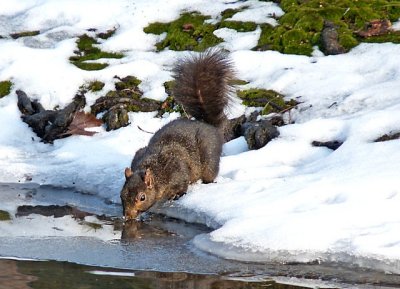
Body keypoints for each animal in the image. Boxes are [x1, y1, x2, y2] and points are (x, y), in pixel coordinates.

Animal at [122, 49, 234, 219]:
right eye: (122, 195)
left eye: (142, 197)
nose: (127, 216)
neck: (155, 171)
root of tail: (209, 125)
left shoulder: (176, 170)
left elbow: (182, 184)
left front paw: (176, 194)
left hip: (208, 155)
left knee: (210, 172)